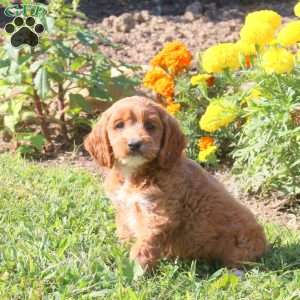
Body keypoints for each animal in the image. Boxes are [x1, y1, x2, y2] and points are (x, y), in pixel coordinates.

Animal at [84, 96, 268, 270]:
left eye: (150, 126)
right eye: (119, 125)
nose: (135, 144)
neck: (133, 174)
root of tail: (264, 243)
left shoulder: (158, 215)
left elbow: (143, 246)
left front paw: (135, 270)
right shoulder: (123, 209)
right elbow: (125, 233)